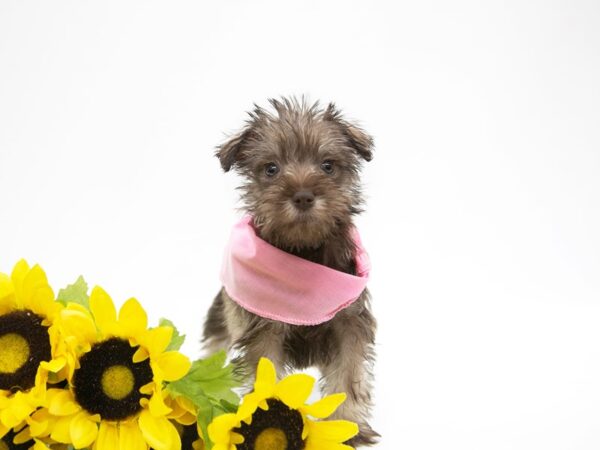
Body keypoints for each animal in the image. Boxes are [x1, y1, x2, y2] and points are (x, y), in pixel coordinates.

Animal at [204, 96, 378, 444]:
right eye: (271, 169)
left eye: (328, 165)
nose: (303, 196)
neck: (305, 251)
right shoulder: (263, 329)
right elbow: (265, 372)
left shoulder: (349, 323)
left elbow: (348, 376)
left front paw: (347, 426)